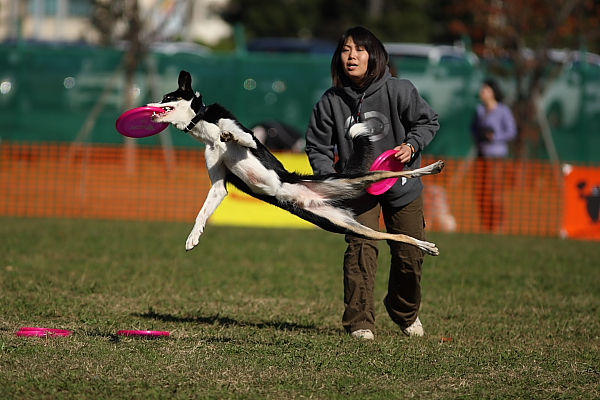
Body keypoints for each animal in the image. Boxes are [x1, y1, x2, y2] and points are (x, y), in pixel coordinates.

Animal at [148, 70, 442, 255]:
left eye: (167, 98)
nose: (149, 107)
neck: (204, 125)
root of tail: (312, 196)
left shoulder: (249, 139)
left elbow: (240, 137)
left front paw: (229, 136)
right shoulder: (218, 186)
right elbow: (201, 213)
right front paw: (193, 238)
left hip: (351, 180)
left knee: (387, 174)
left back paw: (432, 168)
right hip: (344, 224)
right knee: (395, 236)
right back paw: (426, 246)